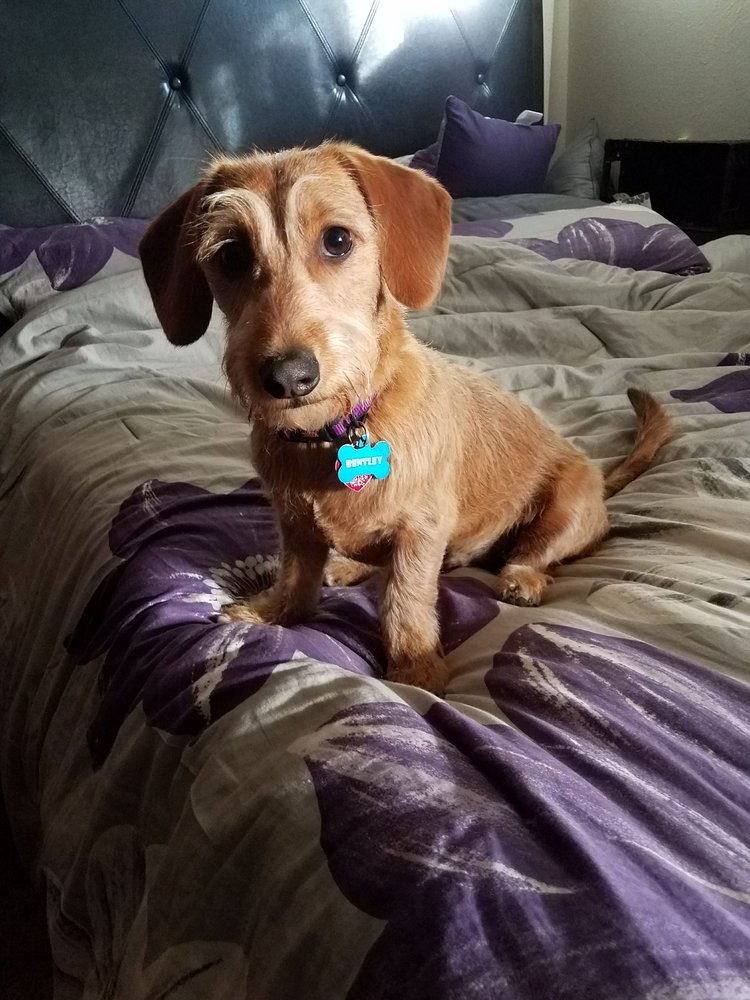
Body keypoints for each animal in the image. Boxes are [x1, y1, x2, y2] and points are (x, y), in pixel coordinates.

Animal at [139, 142, 671, 695]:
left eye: (337, 240)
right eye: (231, 255)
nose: (288, 377)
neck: (335, 432)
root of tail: (601, 478)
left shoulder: (419, 535)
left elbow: (406, 599)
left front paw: (415, 666)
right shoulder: (294, 524)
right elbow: (295, 576)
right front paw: (273, 612)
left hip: (565, 508)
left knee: (536, 555)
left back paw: (521, 577)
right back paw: (349, 566)